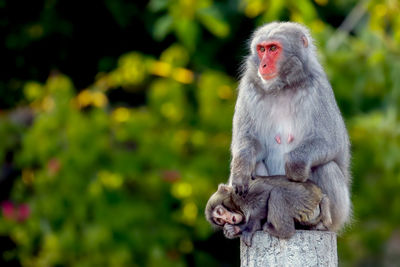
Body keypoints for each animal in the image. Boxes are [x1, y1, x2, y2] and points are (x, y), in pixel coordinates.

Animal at [230, 22, 352, 232]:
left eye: (273, 48)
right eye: (261, 49)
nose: (263, 64)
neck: (282, 87)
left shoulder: (319, 88)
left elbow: (333, 142)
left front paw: (295, 168)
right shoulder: (248, 87)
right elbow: (245, 138)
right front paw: (241, 168)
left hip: (340, 211)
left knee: (326, 167)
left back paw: (319, 223)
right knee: (256, 161)